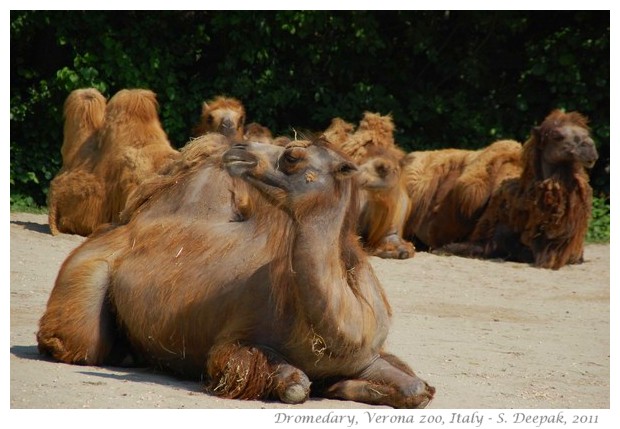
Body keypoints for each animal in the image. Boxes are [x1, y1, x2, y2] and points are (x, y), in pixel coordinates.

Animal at [37, 137, 436, 408]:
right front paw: (315, 384)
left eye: (293, 155)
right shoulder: (232, 343)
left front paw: (347, 385)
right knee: (80, 342)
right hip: (87, 269)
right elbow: (295, 384)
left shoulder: (366, 354)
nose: (239, 149)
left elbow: (418, 388)